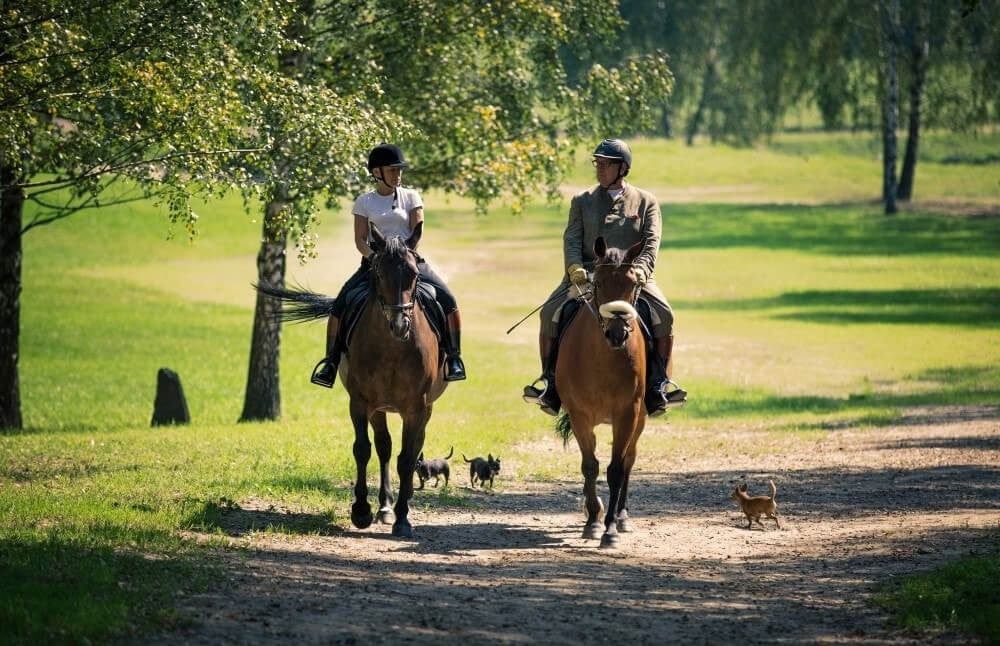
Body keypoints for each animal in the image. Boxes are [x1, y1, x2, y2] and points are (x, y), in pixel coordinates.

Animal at [260, 224, 448, 540]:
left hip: (424, 409)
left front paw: (403, 518)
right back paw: (384, 507)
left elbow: (407, 459)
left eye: (414, 273)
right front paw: (361, 511)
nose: (400, 325)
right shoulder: (360, 402)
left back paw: (402, 502)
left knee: (411, 448)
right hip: (379, 409)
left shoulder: (416, 408)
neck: (392, 347)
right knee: (384, 447)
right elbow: (363, 449)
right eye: (379, 273)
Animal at [556, 235, 648, 548]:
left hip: (640, 419)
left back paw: (622, 516)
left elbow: (616, 470)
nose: (618, 333)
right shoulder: (580, 415)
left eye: (633, 285)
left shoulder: (627, 414)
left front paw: (609, 529)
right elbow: (590, 466)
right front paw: (593, 521)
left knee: (629, 460)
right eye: (597, 284)